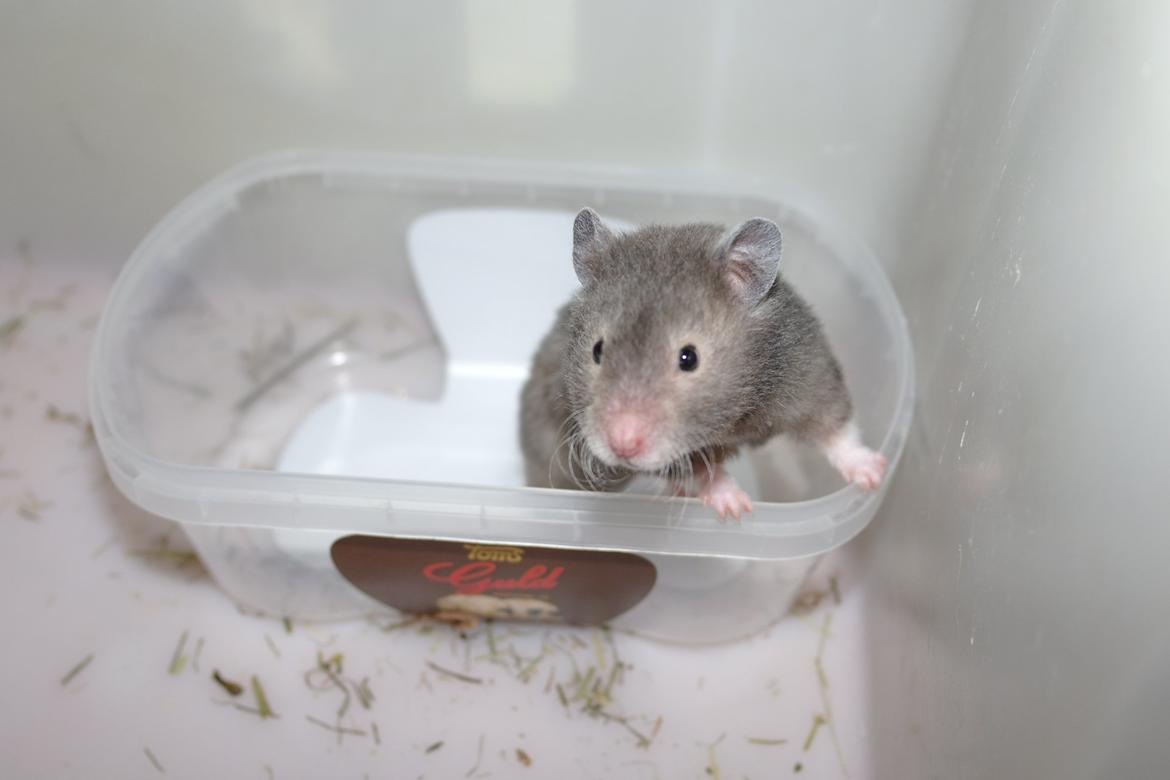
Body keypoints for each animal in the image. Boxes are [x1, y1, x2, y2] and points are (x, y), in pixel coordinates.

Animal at [518, 208, 886, 519]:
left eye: (689, 358)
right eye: (597, 350)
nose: (622, 445)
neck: (736, 416)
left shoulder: (809, 370)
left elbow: (834, 426)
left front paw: (875, 474)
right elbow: (699, 470)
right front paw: (737, 506)